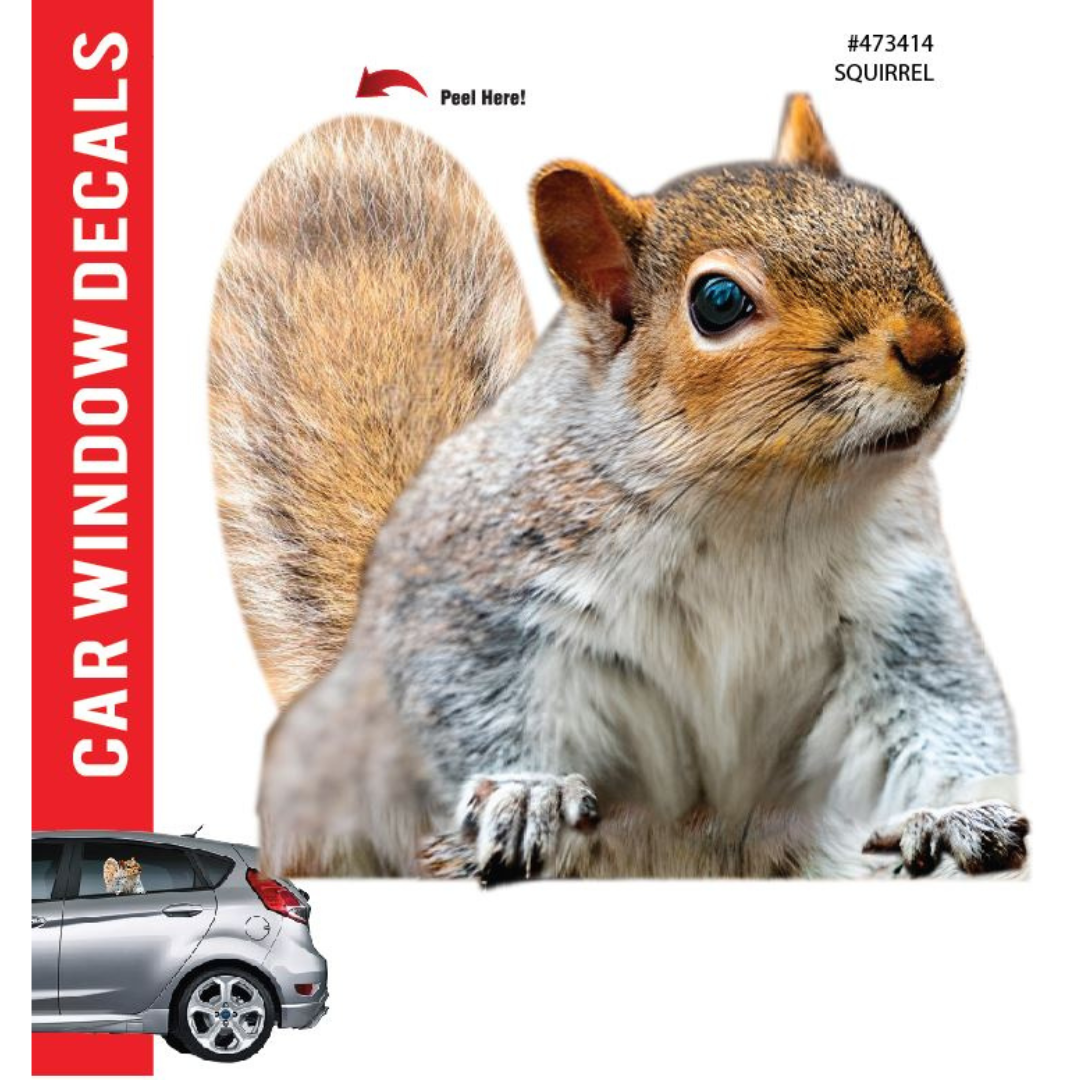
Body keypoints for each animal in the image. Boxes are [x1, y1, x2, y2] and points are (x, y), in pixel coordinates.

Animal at [210, 95, 1028, 881]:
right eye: (719, 301)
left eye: (893, 219)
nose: (938, 348)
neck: (761, 505)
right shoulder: (485, 590)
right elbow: (474, 698)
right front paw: (523, 792)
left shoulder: (898, 610)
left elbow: (940, 712)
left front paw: (962, 814)